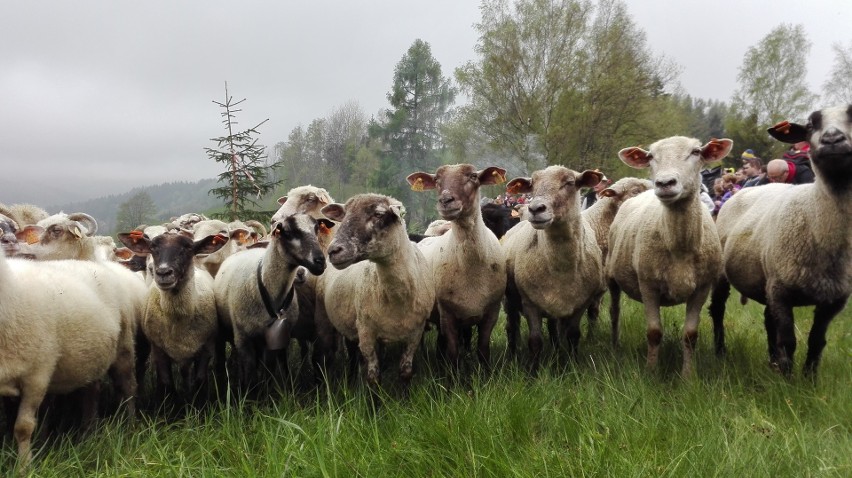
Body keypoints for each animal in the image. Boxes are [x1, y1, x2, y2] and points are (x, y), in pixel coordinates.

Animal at [406, 162, 506, 368]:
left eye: (473, 176)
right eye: (436, 179)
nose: (446, 200)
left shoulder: (491, 313)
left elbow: (483, 350)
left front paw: (486, 373)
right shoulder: (447, 315)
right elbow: (452, 353)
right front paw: (453, 376)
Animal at [502, 166, 608, 372]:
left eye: (569, 183)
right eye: (532, 184)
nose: (535, 209)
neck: (561, 269)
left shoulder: (580, 304)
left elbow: (573, 335)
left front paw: (572, 365)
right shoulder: (530, 303)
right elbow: (535, 341)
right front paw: (533, 372)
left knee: (552, 329)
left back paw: (556, 350)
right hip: (509, 301)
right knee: (512, 327)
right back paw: (512, 355)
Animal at [604, 135, 732, 378]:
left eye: (696, 152)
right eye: (651, 156)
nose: (664, 183)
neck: (679, 246)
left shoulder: (702, 288)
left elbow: (690, 336)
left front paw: (688, 377)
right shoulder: (648, 286)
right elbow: (654, 333)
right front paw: (651, 373)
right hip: (611, 275)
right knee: (614, 311)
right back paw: (614, 345)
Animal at [712, 105, 852, 378]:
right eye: (810, 125)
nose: (832, 140)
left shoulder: (834, 300)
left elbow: (816, 342)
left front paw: (809, 380)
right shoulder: (782, 290)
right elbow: (788, 341)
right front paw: (787, 381)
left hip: (767, 279)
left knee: (768, 321)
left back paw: (772, 362)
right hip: (728, 273)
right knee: (717, 311)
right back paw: (721, 352)